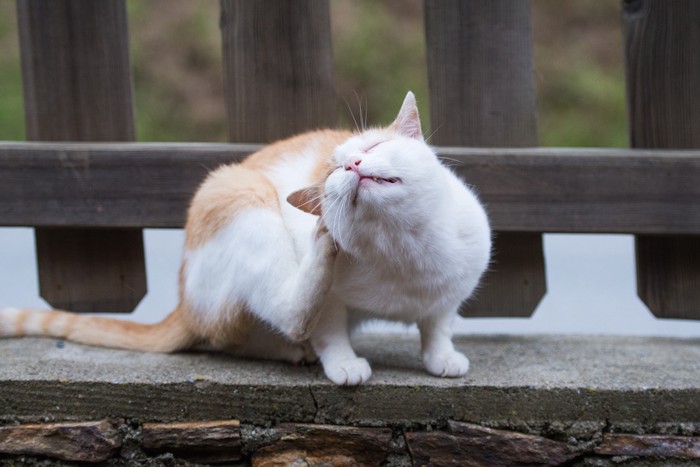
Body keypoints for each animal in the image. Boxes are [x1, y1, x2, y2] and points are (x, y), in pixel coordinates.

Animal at [1, 92, 492, 388]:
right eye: (331, 174)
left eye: (370, 149)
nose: (351, 166)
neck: (404, 250)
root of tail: (182, 300)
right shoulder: (332, 305)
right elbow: (329, 328)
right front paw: (343, 362)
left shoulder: (451, 293)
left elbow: (437, 324)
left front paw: (441, 356)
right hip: (241, 195)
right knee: (284, 314)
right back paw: (318, 258)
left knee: (238, 335)